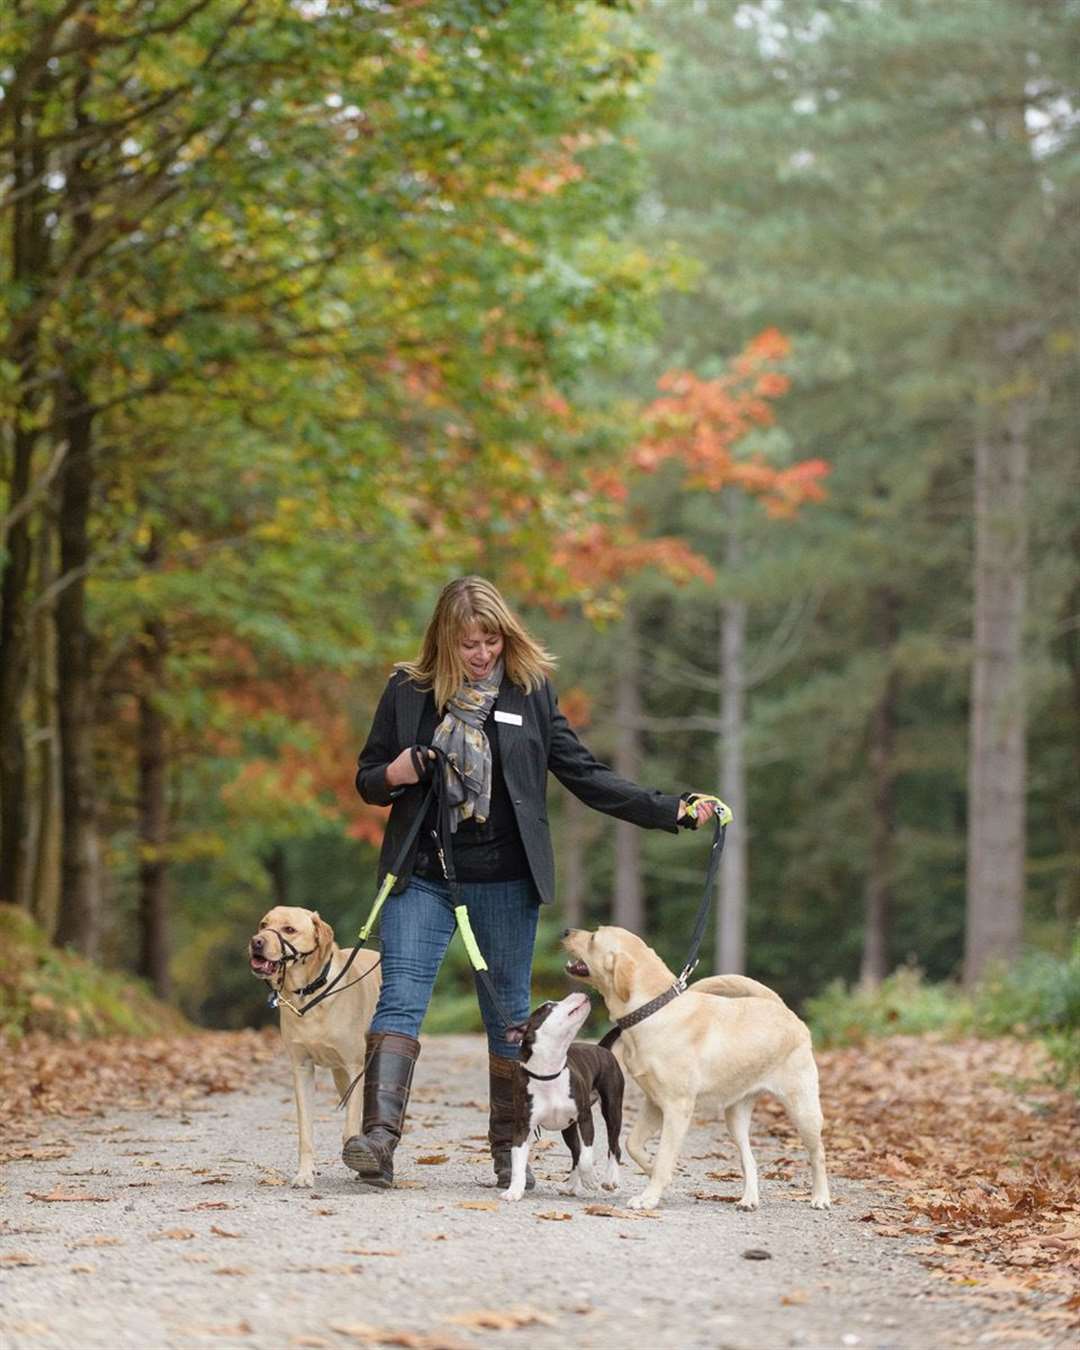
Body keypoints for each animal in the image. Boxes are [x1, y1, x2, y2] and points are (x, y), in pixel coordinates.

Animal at [499, 993, 623, 1204]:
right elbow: (517, 1161)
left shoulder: (585, 1118)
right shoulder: (523, 1127)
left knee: (613, 1146)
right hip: (568, 1128)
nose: (581, 993)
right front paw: (514, 1190)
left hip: (612, 1109)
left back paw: (609, 1179)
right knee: (575, 1153)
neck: (548, 1073)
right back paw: (570, 1186)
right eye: (549, 1006)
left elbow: (586, 1157)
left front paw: (590, 1180)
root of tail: (602, 1048)